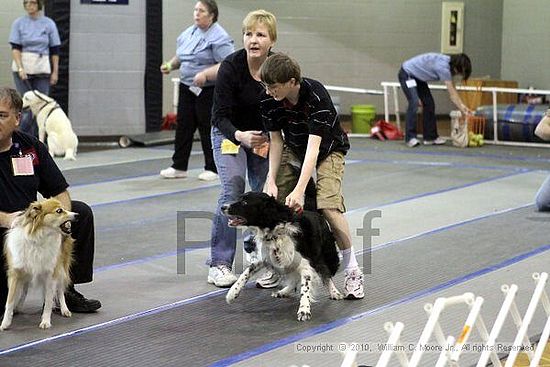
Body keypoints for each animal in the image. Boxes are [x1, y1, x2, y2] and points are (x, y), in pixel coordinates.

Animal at [0, 200, 76, 332]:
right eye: (59, 211)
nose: (77, 215)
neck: (38, 237)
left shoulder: (50, 275)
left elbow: (49, 301)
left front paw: (45, 321)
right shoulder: (15, 273)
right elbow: (9, 301)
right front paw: (5, 323)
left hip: (61, 268)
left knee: (60, 290)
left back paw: (65, 309)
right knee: (24, 290)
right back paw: (18, 306)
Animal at [222, 193, 342, 322]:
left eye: (245, 202)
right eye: (240, 198)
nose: (223, 207)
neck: (274, 231)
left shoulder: (305, 264)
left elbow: (305, 288)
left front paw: (304, 310)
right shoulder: (265, 258)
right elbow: (246, 272)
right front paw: (232, 293)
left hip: (325, 254)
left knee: (326, 273)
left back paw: (334, 292)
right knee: (295, 278)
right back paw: (283, 291)